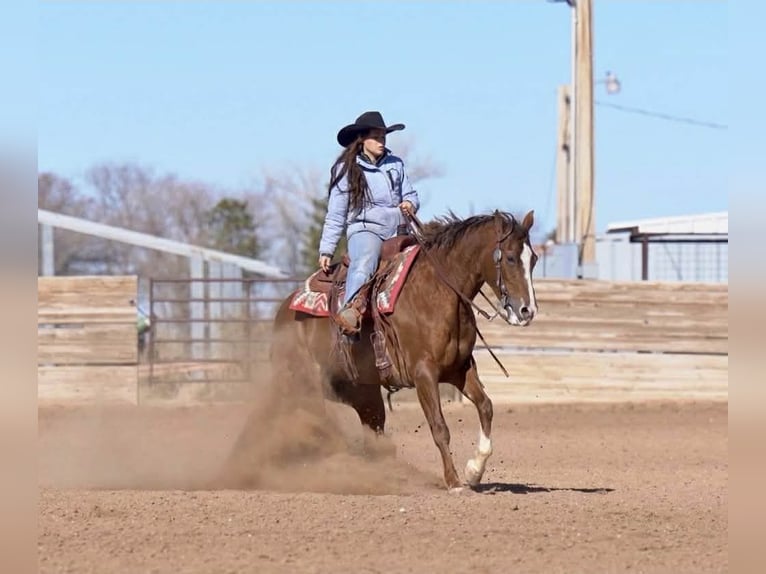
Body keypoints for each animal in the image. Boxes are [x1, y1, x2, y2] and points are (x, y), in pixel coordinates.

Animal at [269, 210, 538, 491]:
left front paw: (474, 470)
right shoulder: (424, 374)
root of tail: (284, 311)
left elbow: (486, 406)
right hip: (306, 385)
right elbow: (439, 427)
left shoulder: (460, 369)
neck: (439, 292)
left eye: (534, 259)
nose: (527, 311)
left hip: (361, 393)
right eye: (510, 258)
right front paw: (453, 481)